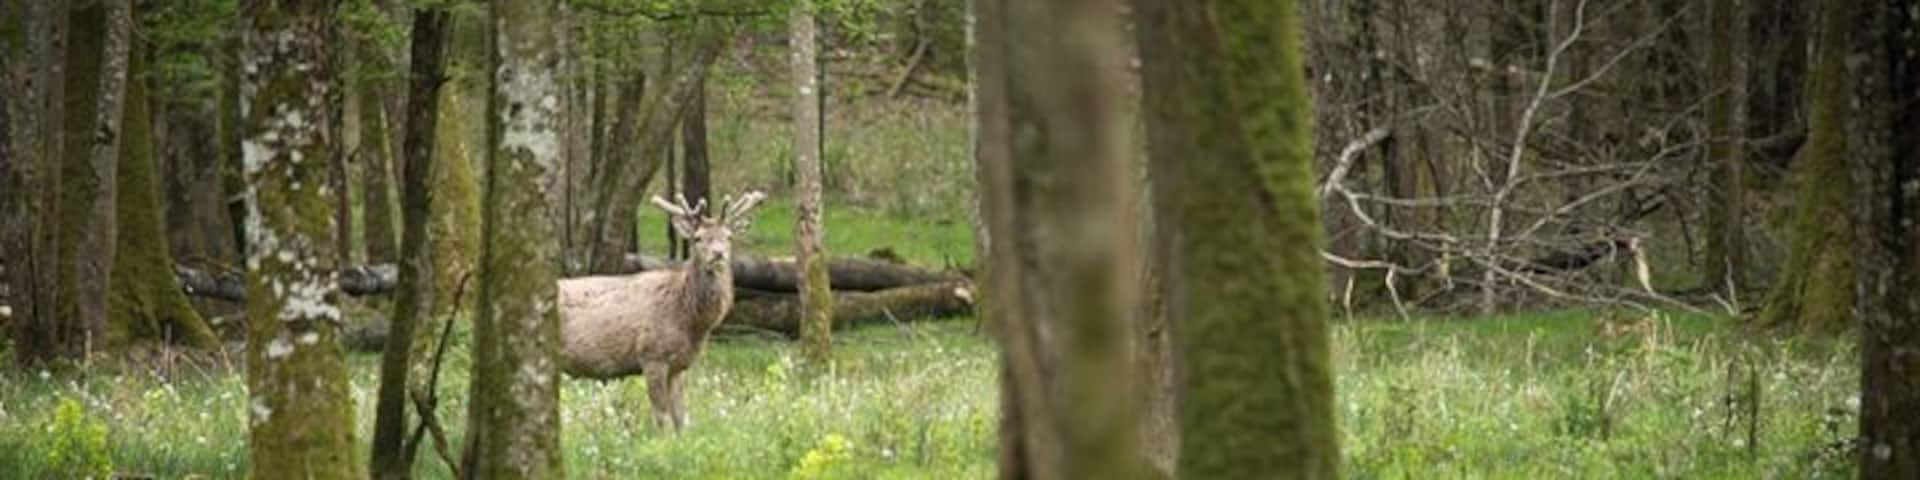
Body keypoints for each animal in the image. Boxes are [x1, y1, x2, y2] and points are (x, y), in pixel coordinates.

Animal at [558, 190, 765, 431]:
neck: (691, 322)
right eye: (698, 238)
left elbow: (680, 417)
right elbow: (661, 416)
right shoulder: (651, 355)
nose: (718, 253)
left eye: (729, 237)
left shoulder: (679, 365)